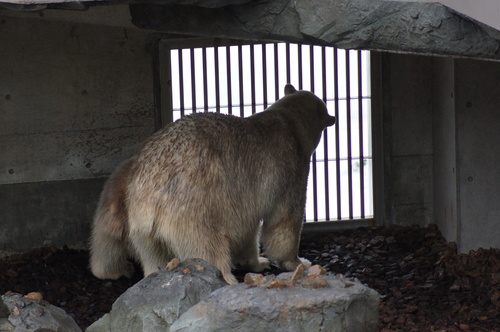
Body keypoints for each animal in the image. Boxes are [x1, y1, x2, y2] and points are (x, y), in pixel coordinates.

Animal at [90, 84, 336, 284]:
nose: (332, 117)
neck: (288, 123)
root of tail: (153, 193)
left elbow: (248, 231)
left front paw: (258, 262)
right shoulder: (289, 170)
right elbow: (283, 222)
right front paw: (299, 262)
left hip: (140, 224)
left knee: (148, 253)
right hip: (195, 206)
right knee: (206, 247)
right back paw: (225, 279)